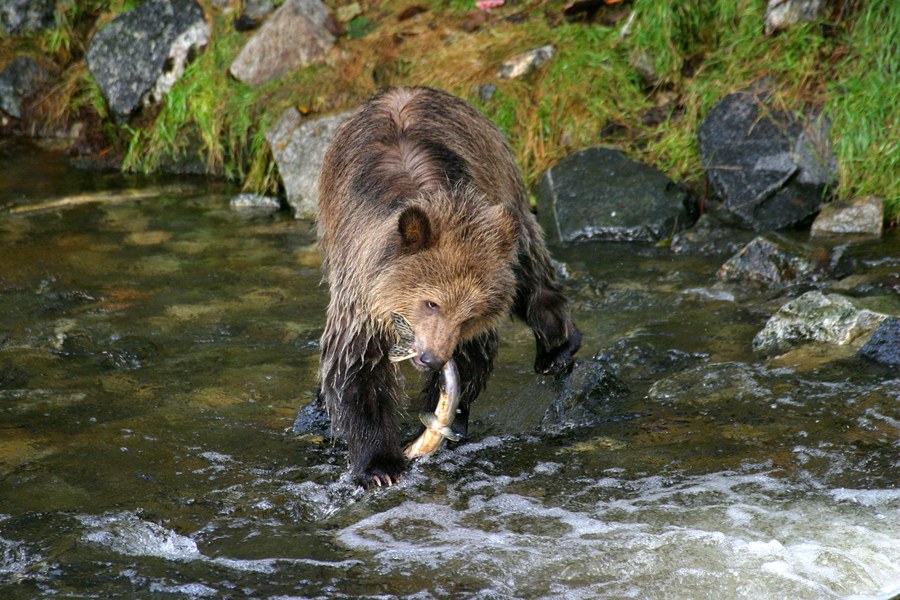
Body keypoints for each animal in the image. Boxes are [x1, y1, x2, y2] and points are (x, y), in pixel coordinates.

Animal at [316, 86, 581, 488]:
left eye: (470, 315)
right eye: (431, 303)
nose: (432, 358)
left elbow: (474, 358)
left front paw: (442, 421)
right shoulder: (360, 289)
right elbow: (357, 369)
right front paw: (379, 465)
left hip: (507, 196)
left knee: (531, 271)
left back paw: (557, 348)